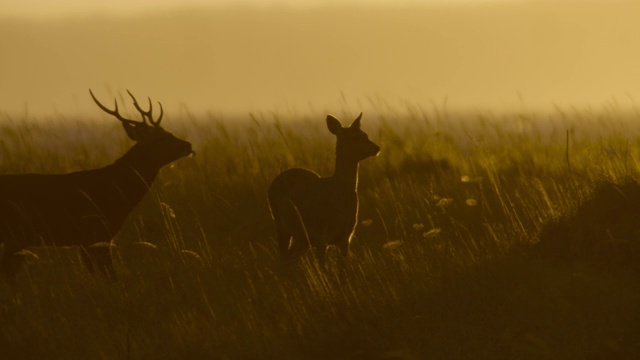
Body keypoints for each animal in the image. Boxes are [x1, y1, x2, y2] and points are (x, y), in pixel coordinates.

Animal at [0, 89, 192, 284]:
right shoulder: (96, 233)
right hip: (14, 235)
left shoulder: (91, 239)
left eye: (168, 132)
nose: (187, 145)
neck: (115, 190)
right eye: (160, 138)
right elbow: (110, 275)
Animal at [266, 112, 380, 264]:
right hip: (281, 226)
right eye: (354, 137)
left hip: (302, 238)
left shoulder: (346, 237)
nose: (376, 148)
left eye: (365, 134)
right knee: (283, 258)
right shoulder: (321, 237)